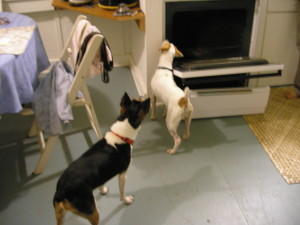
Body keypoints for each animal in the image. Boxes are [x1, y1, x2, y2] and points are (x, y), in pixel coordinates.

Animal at [53, 92, 150, 224]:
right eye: (141, 102)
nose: (144, 95)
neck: (121, 135)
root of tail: (61, 191)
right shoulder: (123, 175)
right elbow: (122, 193)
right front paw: (126, 200)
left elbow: (101, 183)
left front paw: (102, 190)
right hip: (93, 212)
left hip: (61, 215)